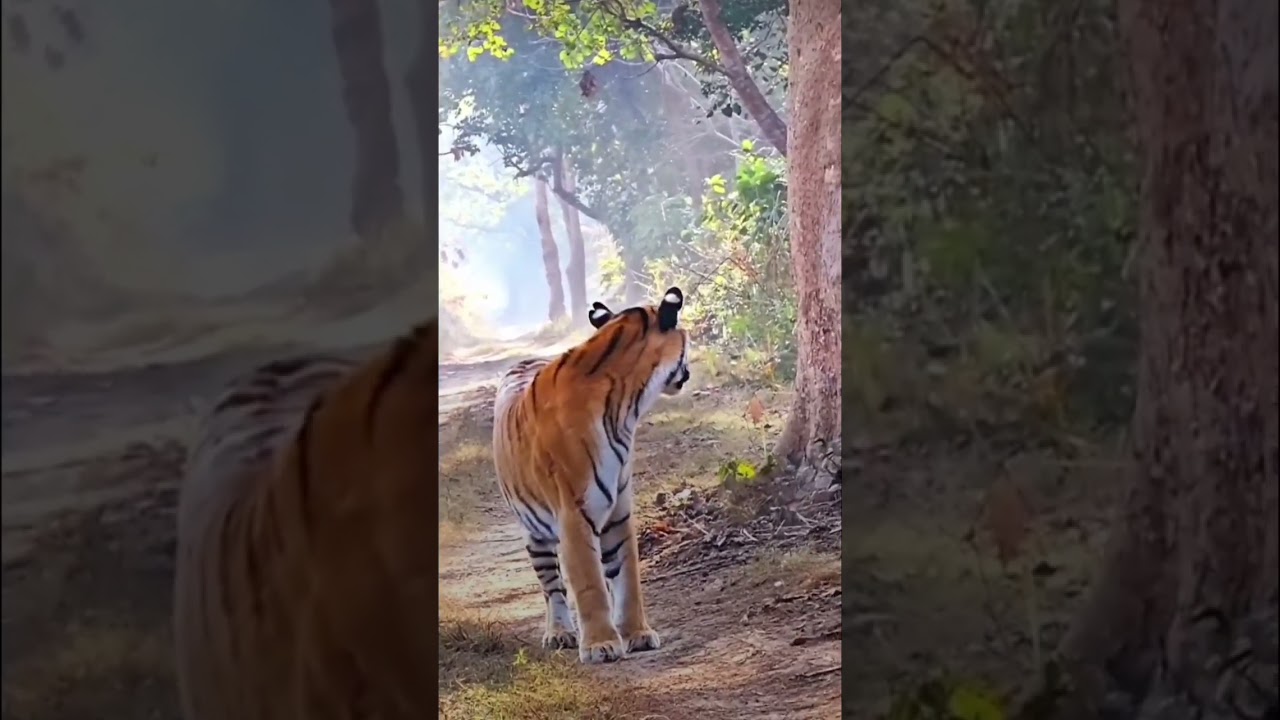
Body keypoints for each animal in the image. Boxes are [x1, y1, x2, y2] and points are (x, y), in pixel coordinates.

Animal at [492, 286, 691, 664]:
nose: (687, 372)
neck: (628, 405)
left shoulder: (618, 511)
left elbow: (627, 578)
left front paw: (637, 634)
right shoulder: (573, 512)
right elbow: (590, 585)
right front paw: (601, 644)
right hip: (534, 532)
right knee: (552, 586)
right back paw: (560, 632)